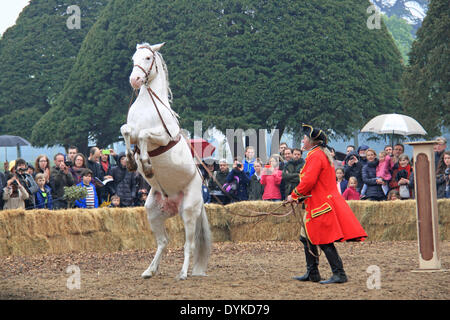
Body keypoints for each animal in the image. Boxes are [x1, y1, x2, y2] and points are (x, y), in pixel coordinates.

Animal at [119, 43, 211, 280]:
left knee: (189, 245)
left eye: (148, 57)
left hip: (189, 212)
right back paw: (149, 270)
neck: (148, 105)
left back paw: (183, 273)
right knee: (163, 242)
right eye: (133, 58)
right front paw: (131, 161)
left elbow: (144, 136)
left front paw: (147, 165)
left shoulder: (161, 137)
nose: (135, 80)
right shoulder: (131, 131)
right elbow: (127, 131)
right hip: (153, 211)